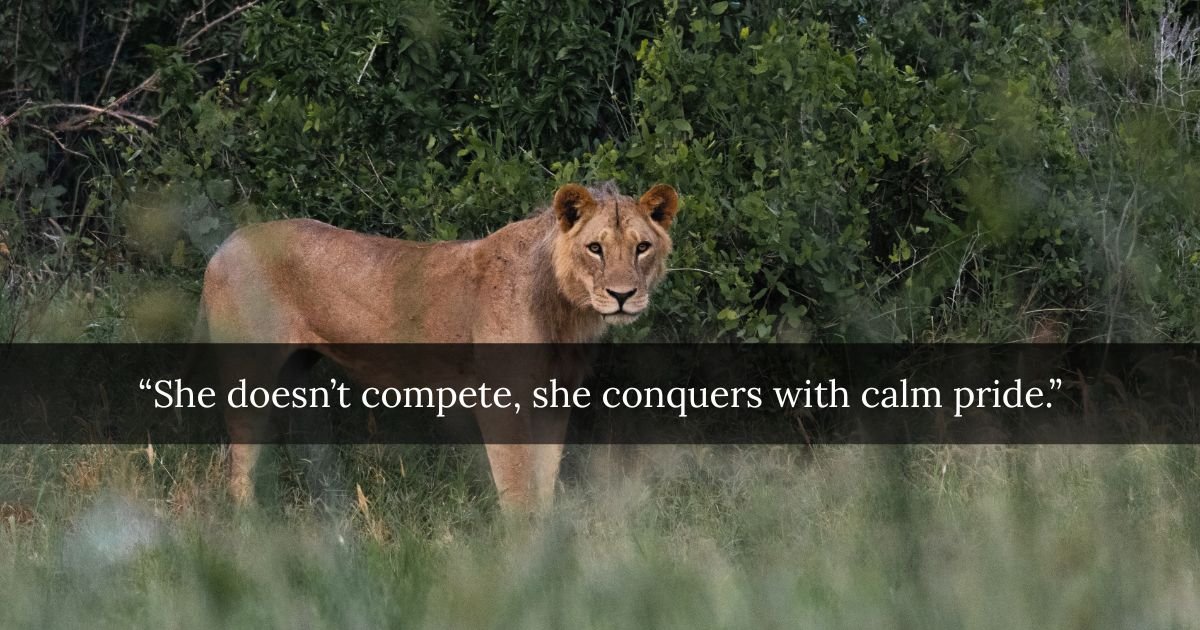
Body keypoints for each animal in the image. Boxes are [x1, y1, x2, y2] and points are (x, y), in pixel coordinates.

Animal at [198, 182, 680, 512]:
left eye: (642, 247)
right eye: (595, 248)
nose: (622, 295)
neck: (565, 311)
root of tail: (225, 244)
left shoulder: (553, 398)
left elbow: (545, 477)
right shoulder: (499, 401)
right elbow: (517, 483)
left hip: (291, 370)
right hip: (248, 371)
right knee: (238, 462)